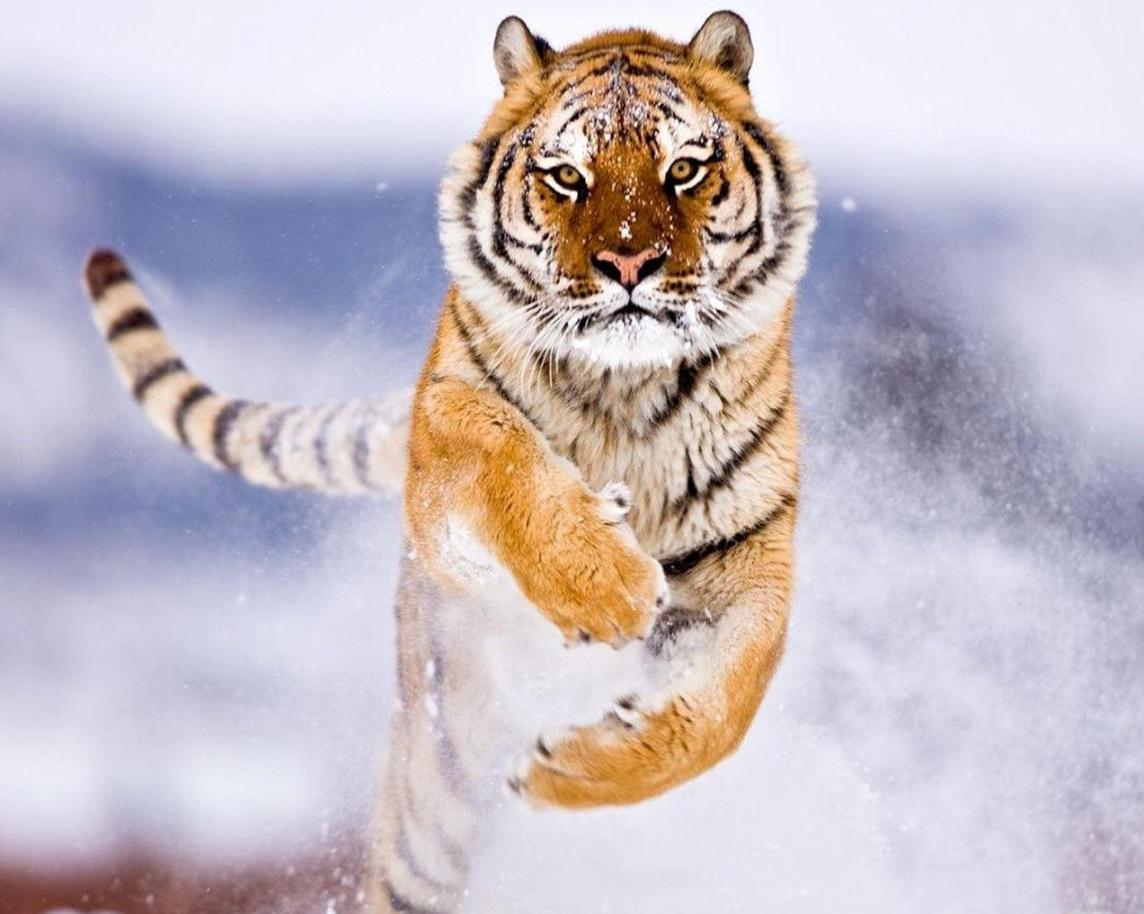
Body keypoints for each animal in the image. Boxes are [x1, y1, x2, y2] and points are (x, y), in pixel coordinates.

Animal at [82, 10, 815, 912]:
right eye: (567, 176)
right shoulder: (443, 452)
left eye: (684, 168)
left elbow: (723, 710)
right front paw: (606, 586)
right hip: (433, 799)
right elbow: (500, 449)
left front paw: (568, 770)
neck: (625, 389)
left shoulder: (748, 561)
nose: (629, 263)